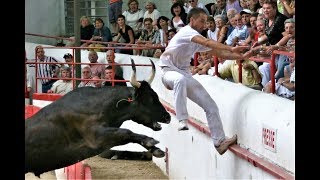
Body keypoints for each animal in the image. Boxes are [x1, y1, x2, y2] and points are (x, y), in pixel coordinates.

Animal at [25, 58, 171, 176]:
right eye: (149, 99)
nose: (167, 117)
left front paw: (156, 150)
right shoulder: (96, 138)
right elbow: (126, 132)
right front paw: (150, 141)